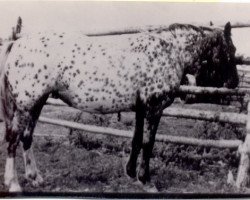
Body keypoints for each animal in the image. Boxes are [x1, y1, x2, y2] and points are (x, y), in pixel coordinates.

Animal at [0, 21, 238, 192]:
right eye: (231, 50)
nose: (234, 83)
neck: (169, 52)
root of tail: (17, 44)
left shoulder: (141, 109)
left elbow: (136, 140)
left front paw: (131, 174)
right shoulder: (153, 109)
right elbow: (148, 143)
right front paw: (146, 180)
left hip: (36, 103)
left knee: (27, 138)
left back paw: (35, 178)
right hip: (26, 105)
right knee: (13, 139)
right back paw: (14, 184)